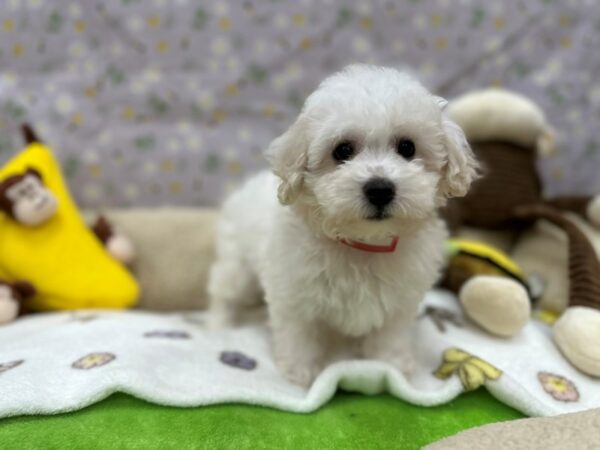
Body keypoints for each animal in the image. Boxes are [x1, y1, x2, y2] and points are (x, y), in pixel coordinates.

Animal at [207, 64, 478, 386]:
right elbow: (299, 333)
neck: (363, 243)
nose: (380, 189)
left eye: (407, 147)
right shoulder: (295, 294)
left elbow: (390, 333)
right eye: (343, 150)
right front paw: (299, 371)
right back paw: (220, 325)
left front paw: (391, 364)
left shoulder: (400, 300)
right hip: (236, 263)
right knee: (224, 292)